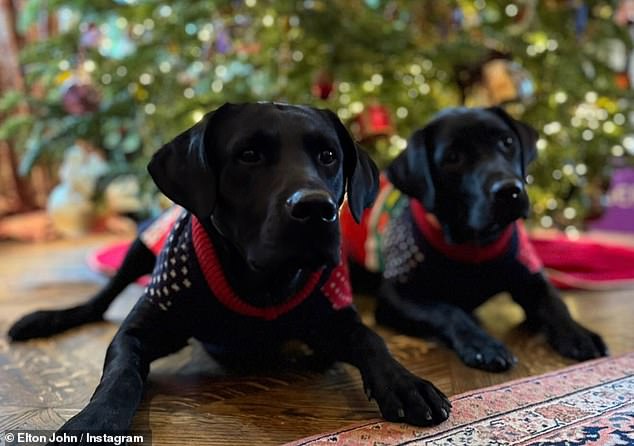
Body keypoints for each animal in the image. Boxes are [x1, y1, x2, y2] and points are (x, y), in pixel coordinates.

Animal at [7, 102, 446, 440]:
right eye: (248, 155)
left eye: (328, 156)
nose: (315, 208)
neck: (263, 285)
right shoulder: (140, 329)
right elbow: (120, 374)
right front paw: (95, 419)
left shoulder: (336, 313)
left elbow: (371, 338)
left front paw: (405, 382)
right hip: (141, 247)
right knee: (100, 300)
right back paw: (44, 319)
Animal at [344, 106, 604, 372]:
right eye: (453, 157)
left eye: (507, 142)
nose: (509, 191)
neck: (474, 245)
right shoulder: (396, 295)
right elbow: (446, 310)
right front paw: (482, 344)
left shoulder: (531, 277)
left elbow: (555, 303)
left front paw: (579, 335)